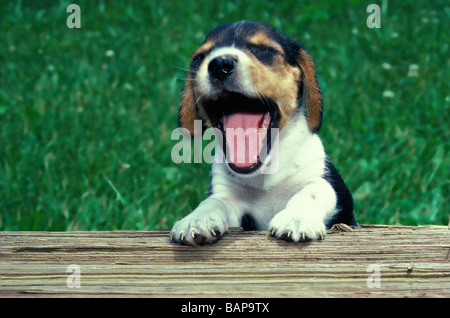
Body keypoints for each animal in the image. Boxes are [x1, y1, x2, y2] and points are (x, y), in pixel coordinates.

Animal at [171, 21, 356, 245]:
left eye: (265, 50)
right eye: (200, 56)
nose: (219, 65)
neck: (265, 175)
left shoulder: (328, 182)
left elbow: (312, 191)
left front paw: (296, 218)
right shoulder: (229, 197)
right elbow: (214, 202)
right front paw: (196, 220)